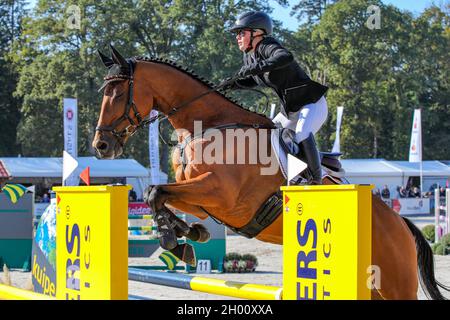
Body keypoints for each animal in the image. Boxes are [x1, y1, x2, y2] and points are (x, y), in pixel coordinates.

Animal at [93, 45, 448, 300]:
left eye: (118, 93)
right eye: (103, 93)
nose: (101, 145)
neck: (207, 126)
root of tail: (401, 223)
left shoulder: (222, 195)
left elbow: (156, 192)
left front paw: (176, 238)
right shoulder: (202, 200)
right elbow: (158, 196)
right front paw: (188, 234)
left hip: (395, 283)